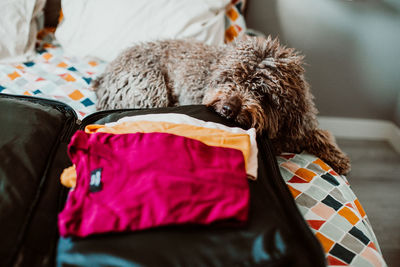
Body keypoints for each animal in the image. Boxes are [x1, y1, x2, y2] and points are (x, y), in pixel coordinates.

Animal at [93, 35, 350, 176]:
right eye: (231, 79)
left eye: (261, 91)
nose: (228, 109)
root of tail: (104, 76)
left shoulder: (301, 121)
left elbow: (317, 133)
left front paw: (336, 156)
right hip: (149, 88)